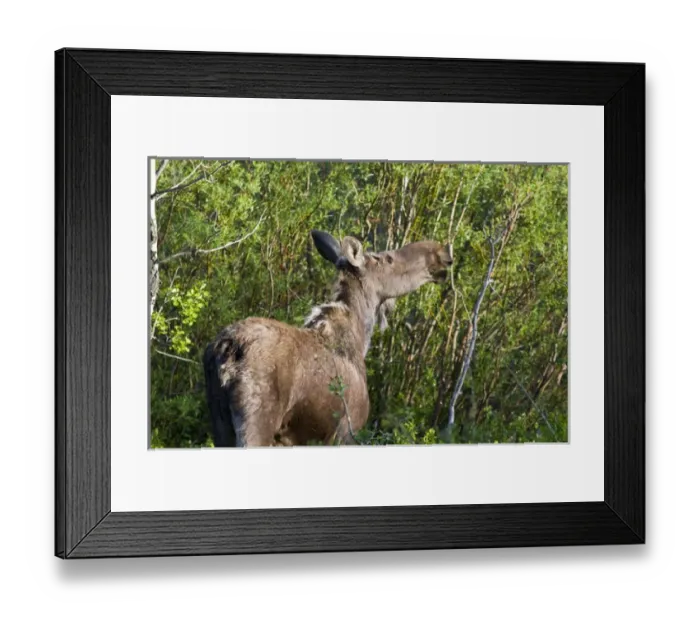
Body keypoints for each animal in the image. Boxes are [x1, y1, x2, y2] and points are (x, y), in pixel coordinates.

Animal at [203, 230, 454, 447]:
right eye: (387, 258)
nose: (442, 253)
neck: (361, 337)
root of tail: (226, 349)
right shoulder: (345, 431)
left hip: (220, 424)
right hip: (257, 422)